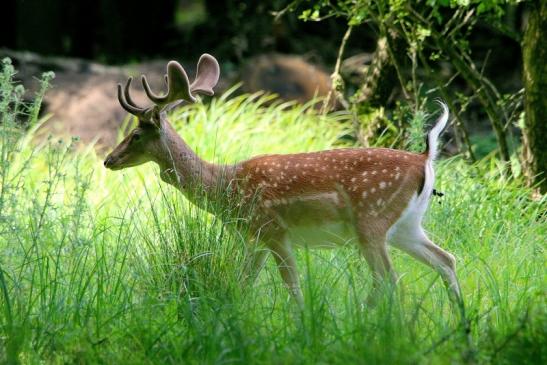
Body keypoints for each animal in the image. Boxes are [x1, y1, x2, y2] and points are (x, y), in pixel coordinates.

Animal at [104, 54, 462, 304]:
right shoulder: (254, 239)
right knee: (446, 260)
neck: (225, 186)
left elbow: (293, 287)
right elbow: (243, 284)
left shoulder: (274, 230)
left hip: (371, 220)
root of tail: (425, 159)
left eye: (135, 134)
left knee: (390, 280)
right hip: (405, 226)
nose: (109, 160)